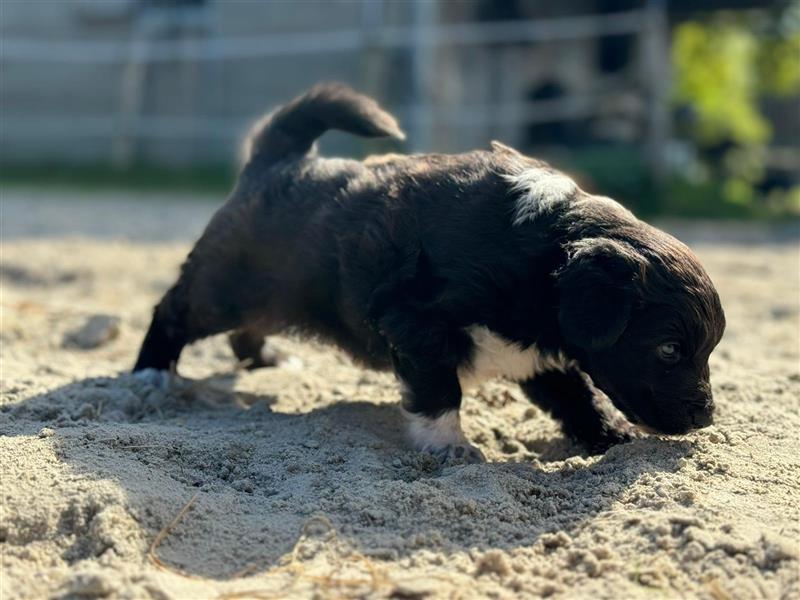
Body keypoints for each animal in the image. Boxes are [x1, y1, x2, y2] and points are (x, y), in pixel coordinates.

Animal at [136, 82, 724, 462]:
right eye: (669, 350)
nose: (707, 420)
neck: (538, 253)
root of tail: (276, 161)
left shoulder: (539, 351)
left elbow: (577, 395)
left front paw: (608, 436)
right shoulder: (414, 320)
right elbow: (440, 389)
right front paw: (449, 448)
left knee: (249, 327)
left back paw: (264, 358)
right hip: (224, 284)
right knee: (172, 311)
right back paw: (149, 376)